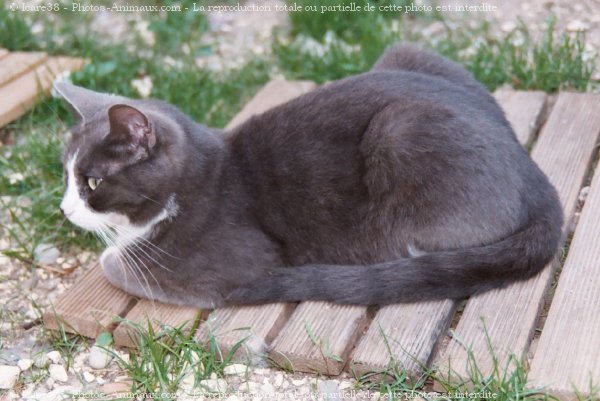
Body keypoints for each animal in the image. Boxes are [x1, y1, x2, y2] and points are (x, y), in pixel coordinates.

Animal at [55, 44, 564, 306]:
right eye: (64, 173)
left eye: (93, 182)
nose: (63, 210)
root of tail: (538, 178)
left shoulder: (219, 269)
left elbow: (113, 263)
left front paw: (112, 252)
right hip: (413, 53)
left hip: (400, 132)